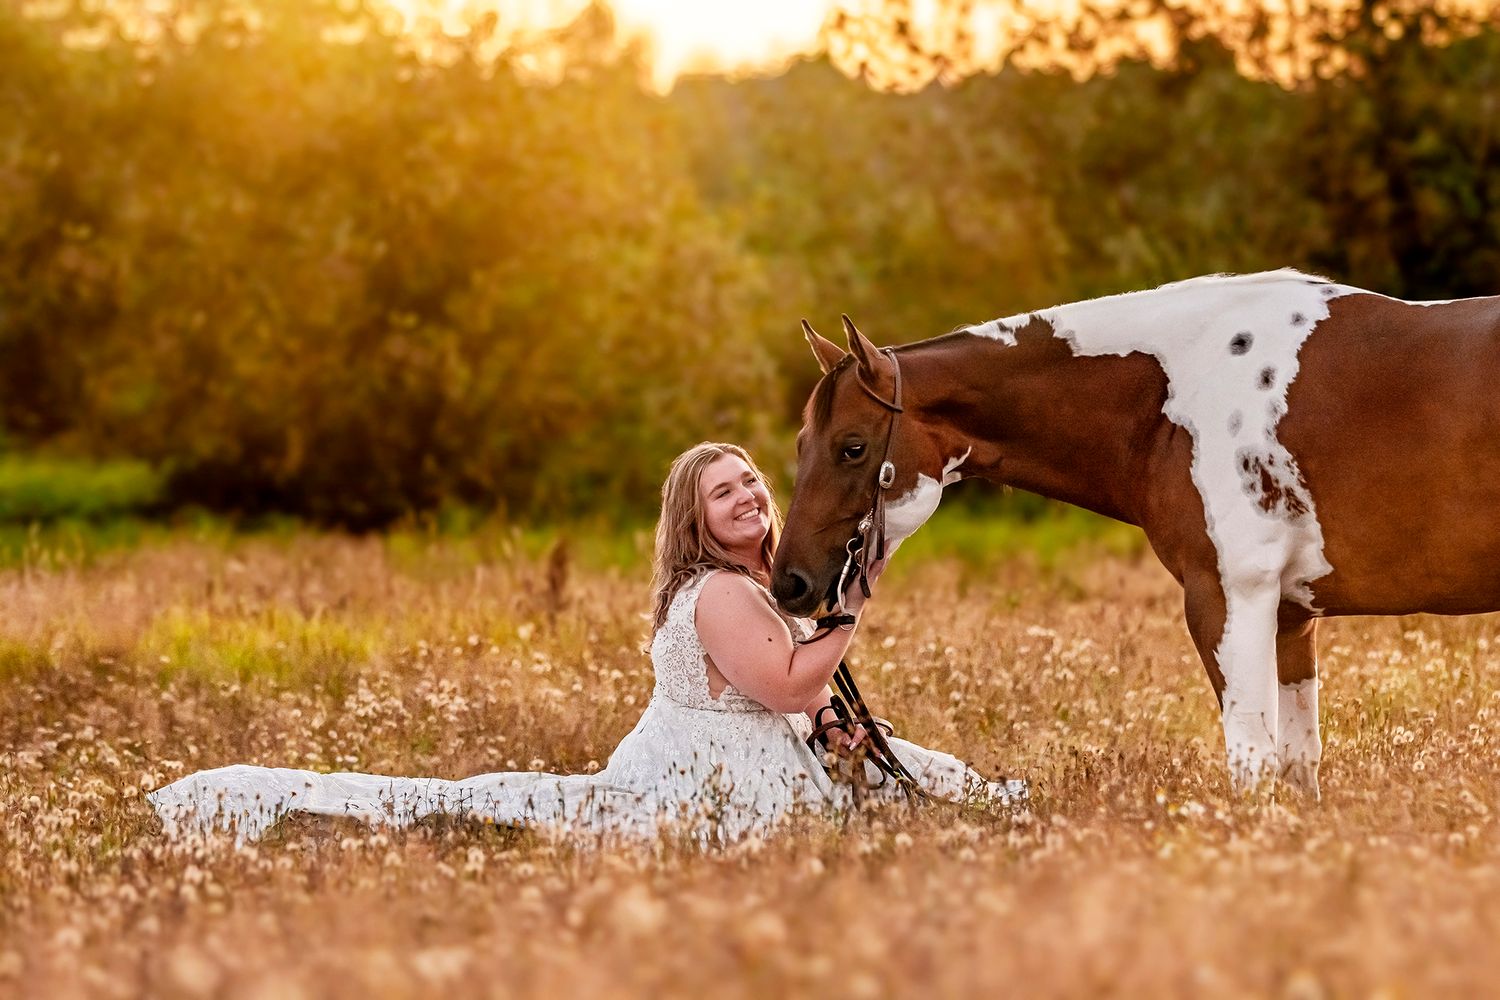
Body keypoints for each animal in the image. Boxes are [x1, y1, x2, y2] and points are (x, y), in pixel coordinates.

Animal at [769, 269, 1500, 798]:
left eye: (853, 448)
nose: (789, 582)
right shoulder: (1292, 616)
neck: (1179, 398)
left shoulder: (1228, 600)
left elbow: (1254, 770)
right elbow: (1297, 768)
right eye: (802, 444)